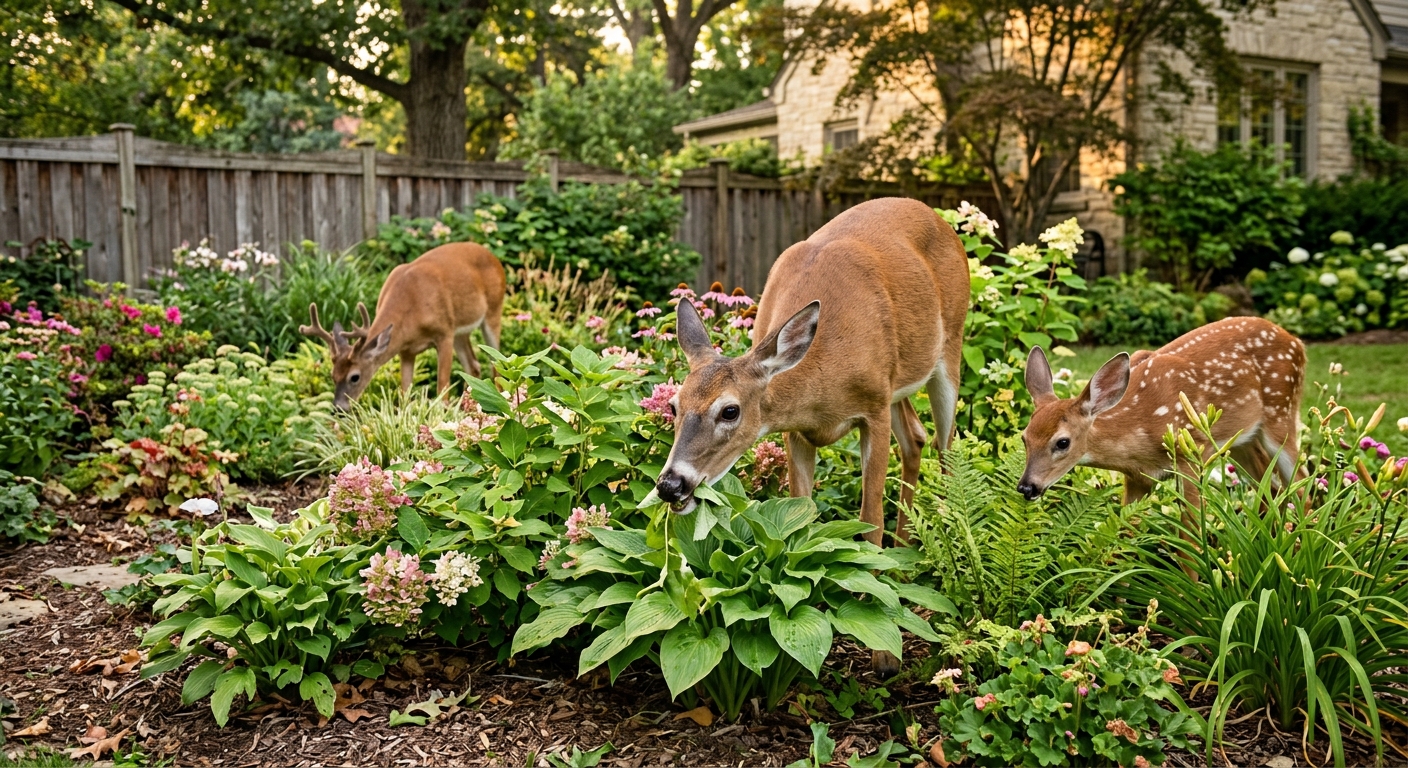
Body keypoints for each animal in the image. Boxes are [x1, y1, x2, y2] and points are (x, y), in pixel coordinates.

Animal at [301, 241, 506, 411]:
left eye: (355, 376)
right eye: (332, 375)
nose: (339, 408)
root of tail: (493, 257)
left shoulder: (444, 333)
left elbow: (442, 390)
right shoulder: (405, 351)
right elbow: (404, 395)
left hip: (493, 311)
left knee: (496, 364)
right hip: (460, 332)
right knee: (473, 366)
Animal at [654, 197, 970, 676]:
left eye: (730, 410)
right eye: (673, 406)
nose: (671, 484)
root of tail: (938, 218)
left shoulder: (873, 408)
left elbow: (870, 519)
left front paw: (882, 652)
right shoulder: (797, 432)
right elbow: (799, 515)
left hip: (948, 350)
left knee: (946, 452)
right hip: (900, 382)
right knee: (915, 438)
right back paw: (903, 560)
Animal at [1019, 316, 1306, 508]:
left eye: (1062, 442)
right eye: (1024, 438)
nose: (1026, 487)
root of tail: (1298, 342)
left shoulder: (1193, 454)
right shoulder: (1138, 478)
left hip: (1281, 411)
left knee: (1301, 483)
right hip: (1241, 440)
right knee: (1270, 485)